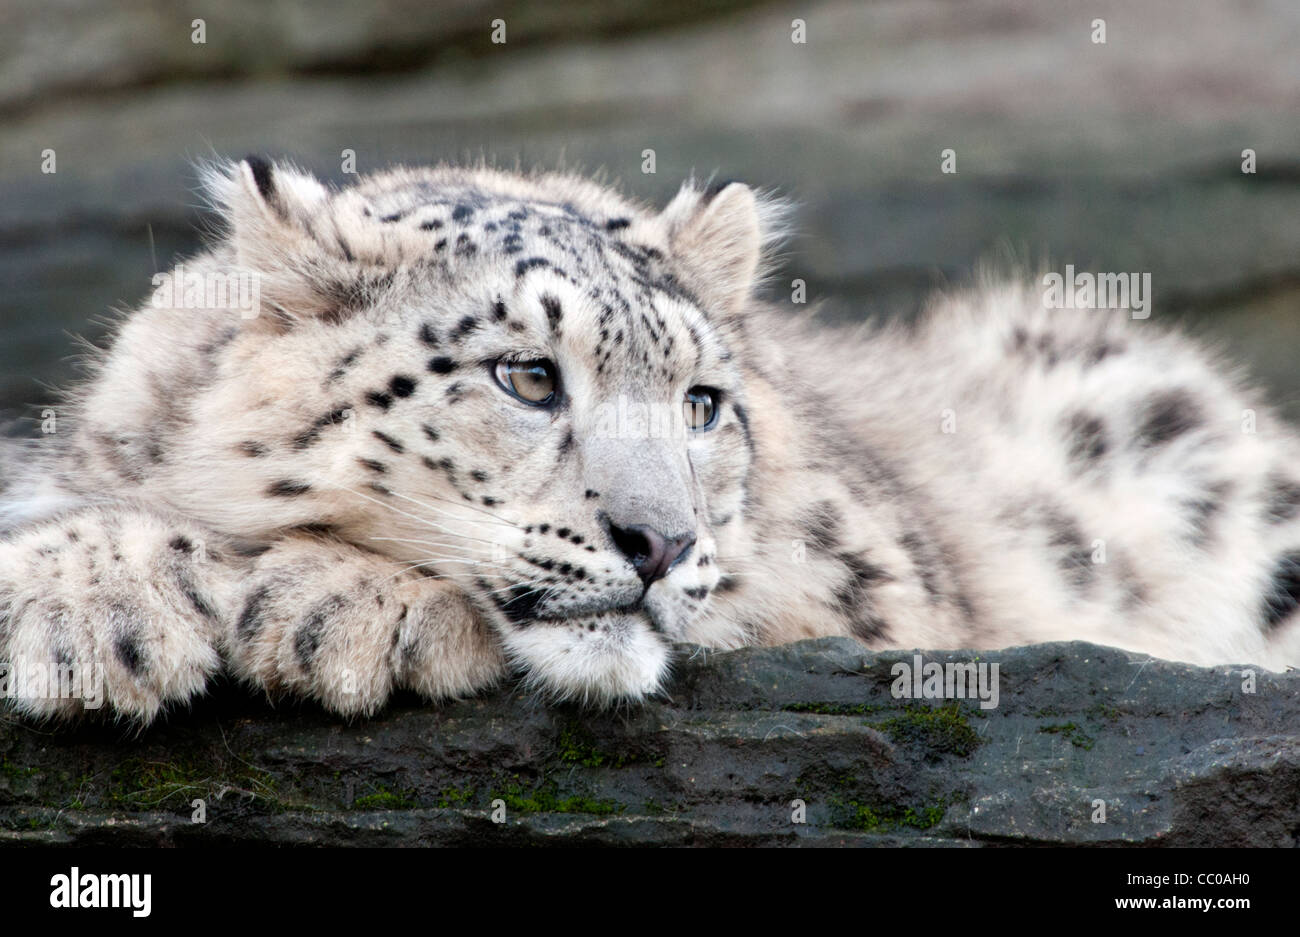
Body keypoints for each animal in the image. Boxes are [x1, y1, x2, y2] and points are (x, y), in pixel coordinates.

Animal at [0, 157, 1294, 722]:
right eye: (527, 375)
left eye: (701, 403)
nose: (661, 542)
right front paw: (90, 615)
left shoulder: (873, 589)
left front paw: (347, 604)